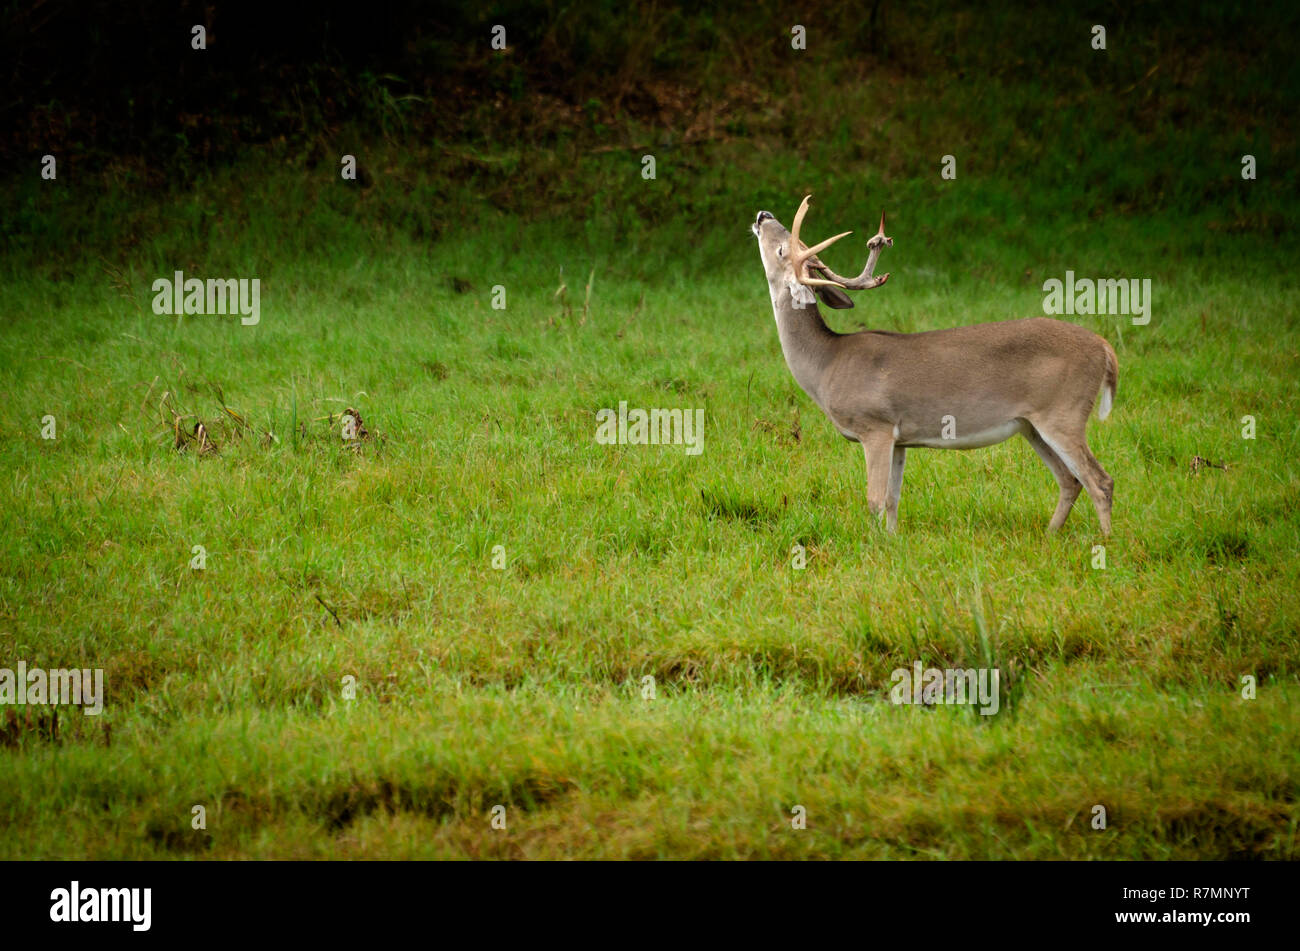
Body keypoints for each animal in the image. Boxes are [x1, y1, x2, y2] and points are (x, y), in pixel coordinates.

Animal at [753, 196, 1117, 535]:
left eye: (783, 249)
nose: (763, 215)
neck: (826, 364)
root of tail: (1104, 348)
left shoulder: (875, 425)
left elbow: (874, 499)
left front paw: (872, 544)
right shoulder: (899, 437)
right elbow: (893, 498)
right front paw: (892, 541)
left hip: (1064, 412)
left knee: (1100, 481)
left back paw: (1105, 543)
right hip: (1031, 424)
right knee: (1070, 480)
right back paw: (1050, 535)